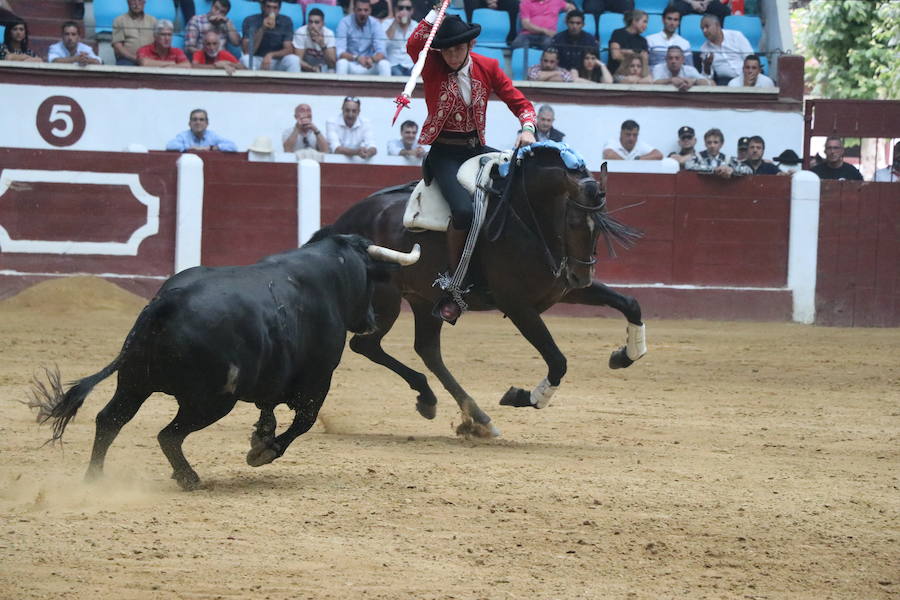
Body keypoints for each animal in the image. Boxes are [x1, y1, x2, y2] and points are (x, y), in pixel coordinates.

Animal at [31, 232, 418, 490]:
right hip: (211, 401)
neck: (328, 278)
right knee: (168, 435)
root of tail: (165, 302)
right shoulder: (318, 380)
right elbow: (303, 422)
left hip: (134, 383)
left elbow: (269, 409)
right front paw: (263, 450)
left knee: (110, 421)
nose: (370, 321)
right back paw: (188, 477)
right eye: (369, 280)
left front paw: (261, 436)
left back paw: (95, 479)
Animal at [330, 145, 648, 436]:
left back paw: (469, 415)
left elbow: (630, 303)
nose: (581, 275)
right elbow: (557, 360)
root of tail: (343, 223)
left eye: (601, 224)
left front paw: (625, 355)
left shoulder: (563, 290)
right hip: (387, 302)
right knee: (366, 345)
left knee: (426, 349)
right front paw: (523, 396)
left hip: (423, 299)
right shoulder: (516, 304)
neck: (527, 217)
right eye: (572, 222)